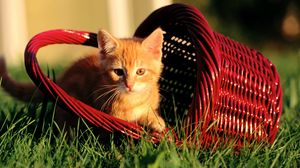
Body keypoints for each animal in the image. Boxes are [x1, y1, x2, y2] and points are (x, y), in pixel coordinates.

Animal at [0, 27, 166, 133]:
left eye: (140, 71)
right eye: (118, 72)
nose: (129, 85)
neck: (133, 100)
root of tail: (63, 76)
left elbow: (147, 112)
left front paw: (156, 121)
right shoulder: (108, 111)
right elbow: (126, 121)